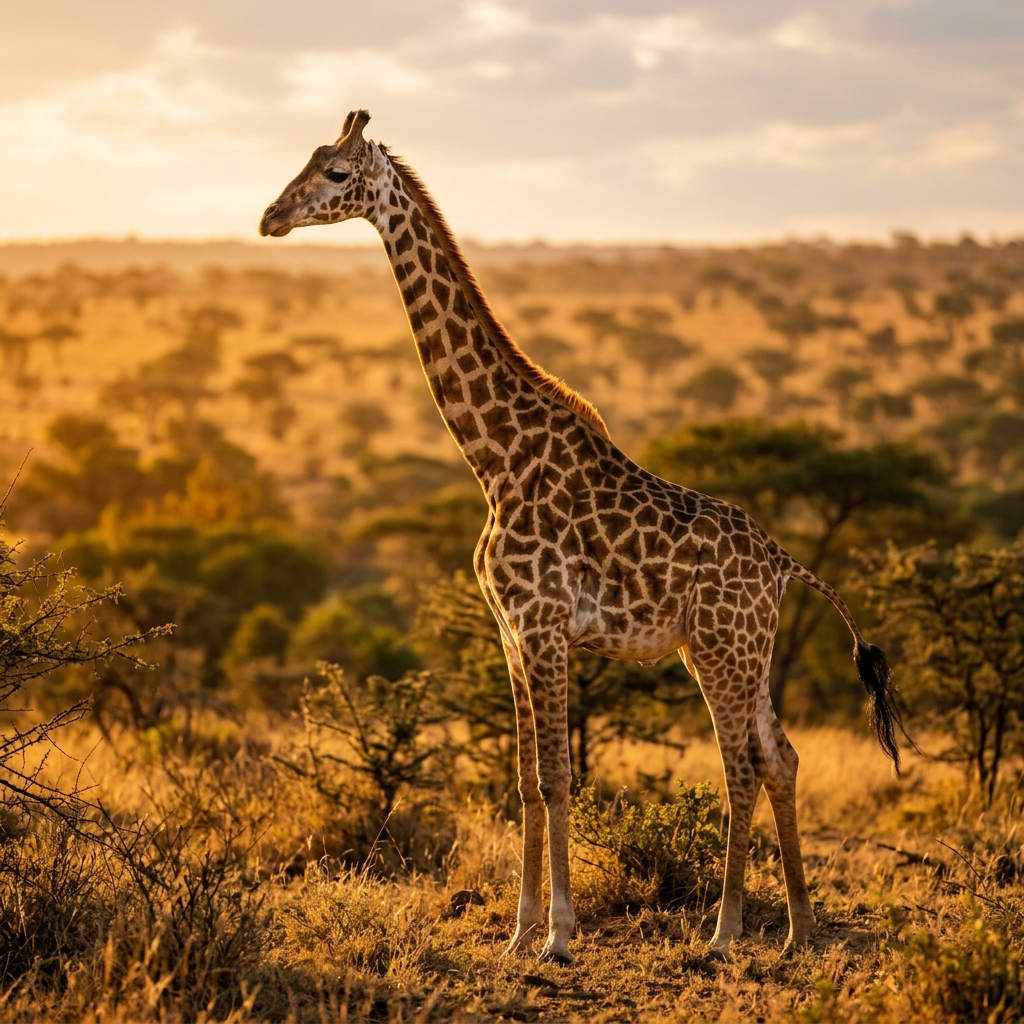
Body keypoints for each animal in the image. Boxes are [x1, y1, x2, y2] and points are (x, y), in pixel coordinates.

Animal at [260, 110, 905, 965]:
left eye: (335, 173)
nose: (270, 217)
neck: (494, 457)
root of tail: (781, 563)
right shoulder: (509, 631)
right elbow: (526, 780)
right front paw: (517, 931)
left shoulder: (544, 624)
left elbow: (560, 778)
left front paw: (559, 936)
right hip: (748, 650)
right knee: (781, 758)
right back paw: (800, 928)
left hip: (717, 648)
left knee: (739, 767)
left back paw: (724, 934)